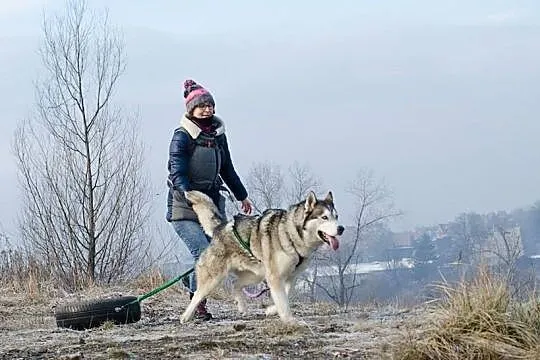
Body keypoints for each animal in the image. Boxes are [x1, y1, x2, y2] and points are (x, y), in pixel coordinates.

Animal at [179, 190, 344, 322]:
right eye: (324, 217)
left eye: (336, 216)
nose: (341, 228)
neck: (292, 234)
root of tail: (221, 227)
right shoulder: (274, 277)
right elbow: (283, 300)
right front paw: (289, 320)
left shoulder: (291, 276)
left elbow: (286, 294)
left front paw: (271, 310)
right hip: (214, 277)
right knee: (197, 294)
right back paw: (186, 316)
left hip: (256, 275)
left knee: (235, 284)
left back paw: (242, 307)